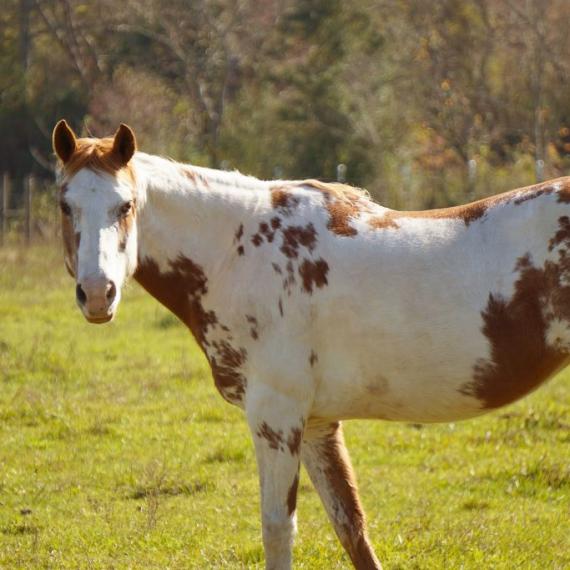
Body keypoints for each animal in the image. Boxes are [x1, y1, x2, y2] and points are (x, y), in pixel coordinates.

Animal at [53, 118, 568, 564]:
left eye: (125, 205)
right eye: (65, 205)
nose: (97, 294)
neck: (237, 253)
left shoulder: (276, 418)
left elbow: (278, 529)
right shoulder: (318, 424)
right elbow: (352, 529)